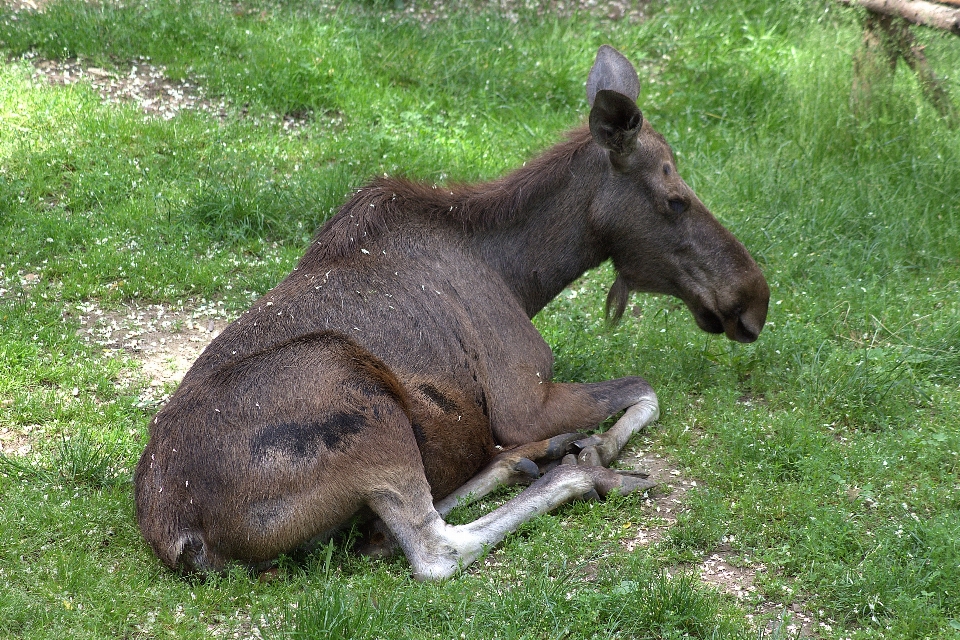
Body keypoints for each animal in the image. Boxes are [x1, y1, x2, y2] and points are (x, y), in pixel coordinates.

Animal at [135, 45, 768, 580]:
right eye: (675, 199)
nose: (754, 300)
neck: (520, 277)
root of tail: (182, 536)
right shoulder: (524, 400)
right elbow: (645, 388)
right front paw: (599, 446)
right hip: (360, 400)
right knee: (435, 549)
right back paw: (574, 469)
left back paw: (525, 463)